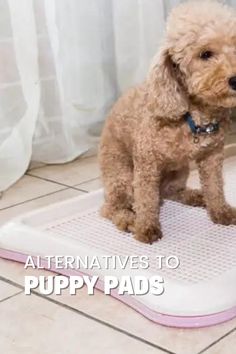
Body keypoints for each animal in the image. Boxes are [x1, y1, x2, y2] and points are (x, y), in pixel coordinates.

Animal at [98, 0, 236, 243]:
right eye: (205, 54)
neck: (194, 118)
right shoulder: (146, 163)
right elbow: (146, 199)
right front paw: (146, 228)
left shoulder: (212, 157)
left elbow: (215, 187)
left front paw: (220, 212)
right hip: (121, 175)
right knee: (112, 207)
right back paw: (127, 219)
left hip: (179, 171)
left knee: (170, 191)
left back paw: (194, 195)